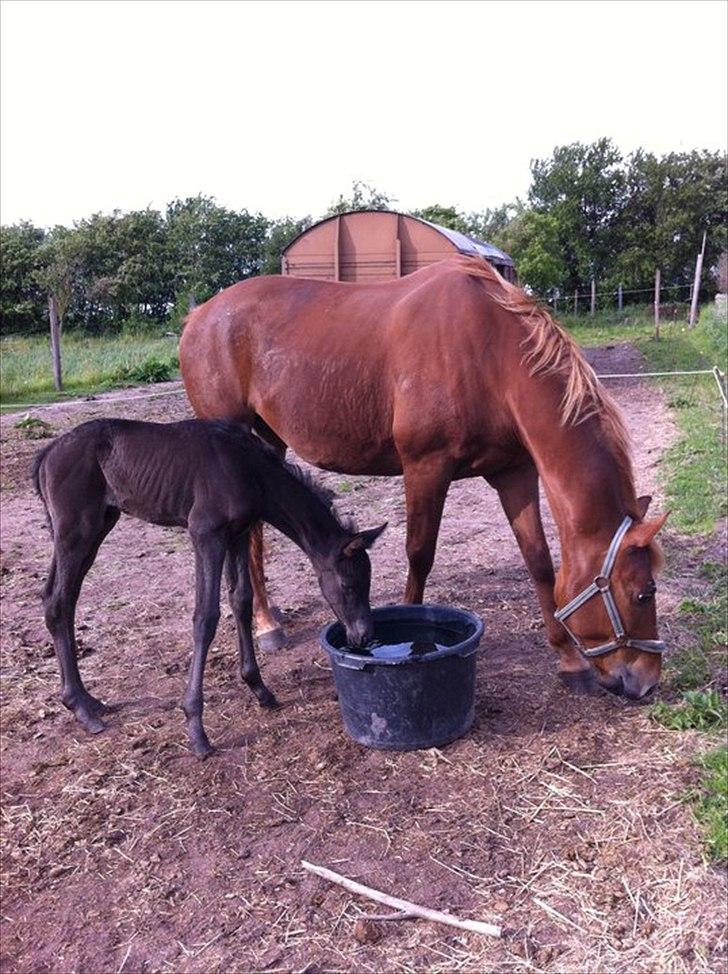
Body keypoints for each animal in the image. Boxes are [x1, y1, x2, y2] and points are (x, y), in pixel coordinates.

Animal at [179, 258, 668, 700]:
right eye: (643, 594)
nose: (644, 681)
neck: (490, 354)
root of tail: (199, 317)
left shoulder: (513, 472)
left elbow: (539, 562)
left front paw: (568, 661)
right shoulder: (425, 467)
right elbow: (419, 555)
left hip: (269, 441)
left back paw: (270, 617)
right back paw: (265, 624)